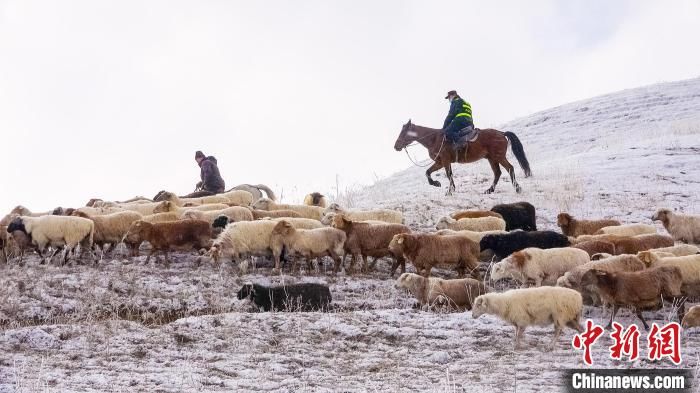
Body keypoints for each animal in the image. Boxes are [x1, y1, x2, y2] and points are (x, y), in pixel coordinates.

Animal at [394, 118, 532, 194]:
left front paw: (449, 191)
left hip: (499, 157)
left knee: (510, 168)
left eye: (403, 132)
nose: (396, 146)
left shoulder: (445, 161)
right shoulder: (440, 162)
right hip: (491, 159)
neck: (434, 139)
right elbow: (428, 172)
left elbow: (448, 174)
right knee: (497, 173)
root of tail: (501, 133)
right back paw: (489, 190)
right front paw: (436, 184)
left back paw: (517, 188)